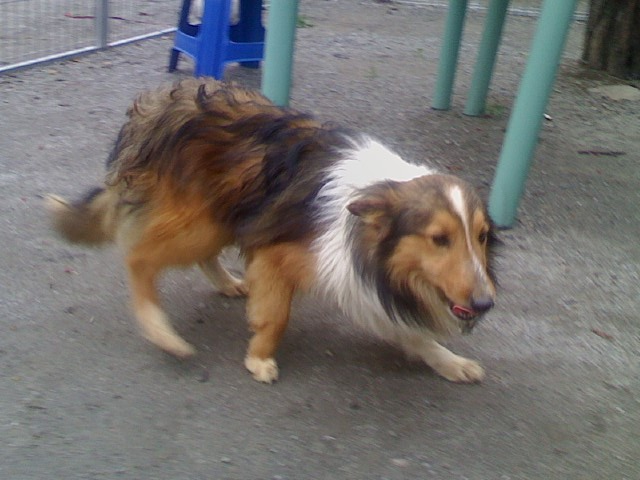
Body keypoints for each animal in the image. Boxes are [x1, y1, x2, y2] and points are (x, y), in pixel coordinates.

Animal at [47, 78, 496, 384]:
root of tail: (156, 107)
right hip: (198, 222)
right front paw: (259, 358)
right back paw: (162, 331)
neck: (364, 229)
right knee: (138, 258)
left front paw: (450, 361)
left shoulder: (361, 282)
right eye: (439, 239)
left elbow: (410, 334)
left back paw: (228, 283)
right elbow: (276, 316)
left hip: (223, 214)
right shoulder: (277, 254)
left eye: (481, 236)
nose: (486, 302)